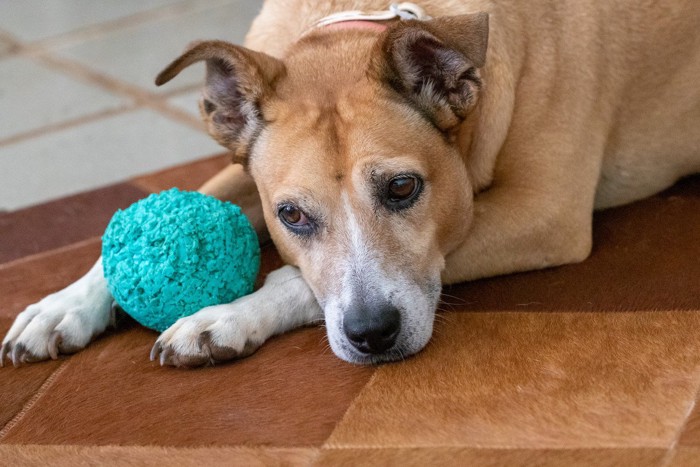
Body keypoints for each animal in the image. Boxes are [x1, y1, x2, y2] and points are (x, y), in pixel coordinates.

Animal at [1, 0, 700, 370]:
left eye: (403, 189)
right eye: (291, 216)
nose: (372, 334)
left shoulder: (543, 214)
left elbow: (296, 280)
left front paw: (226, 316)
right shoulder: (243, 169)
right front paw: (63, 304)